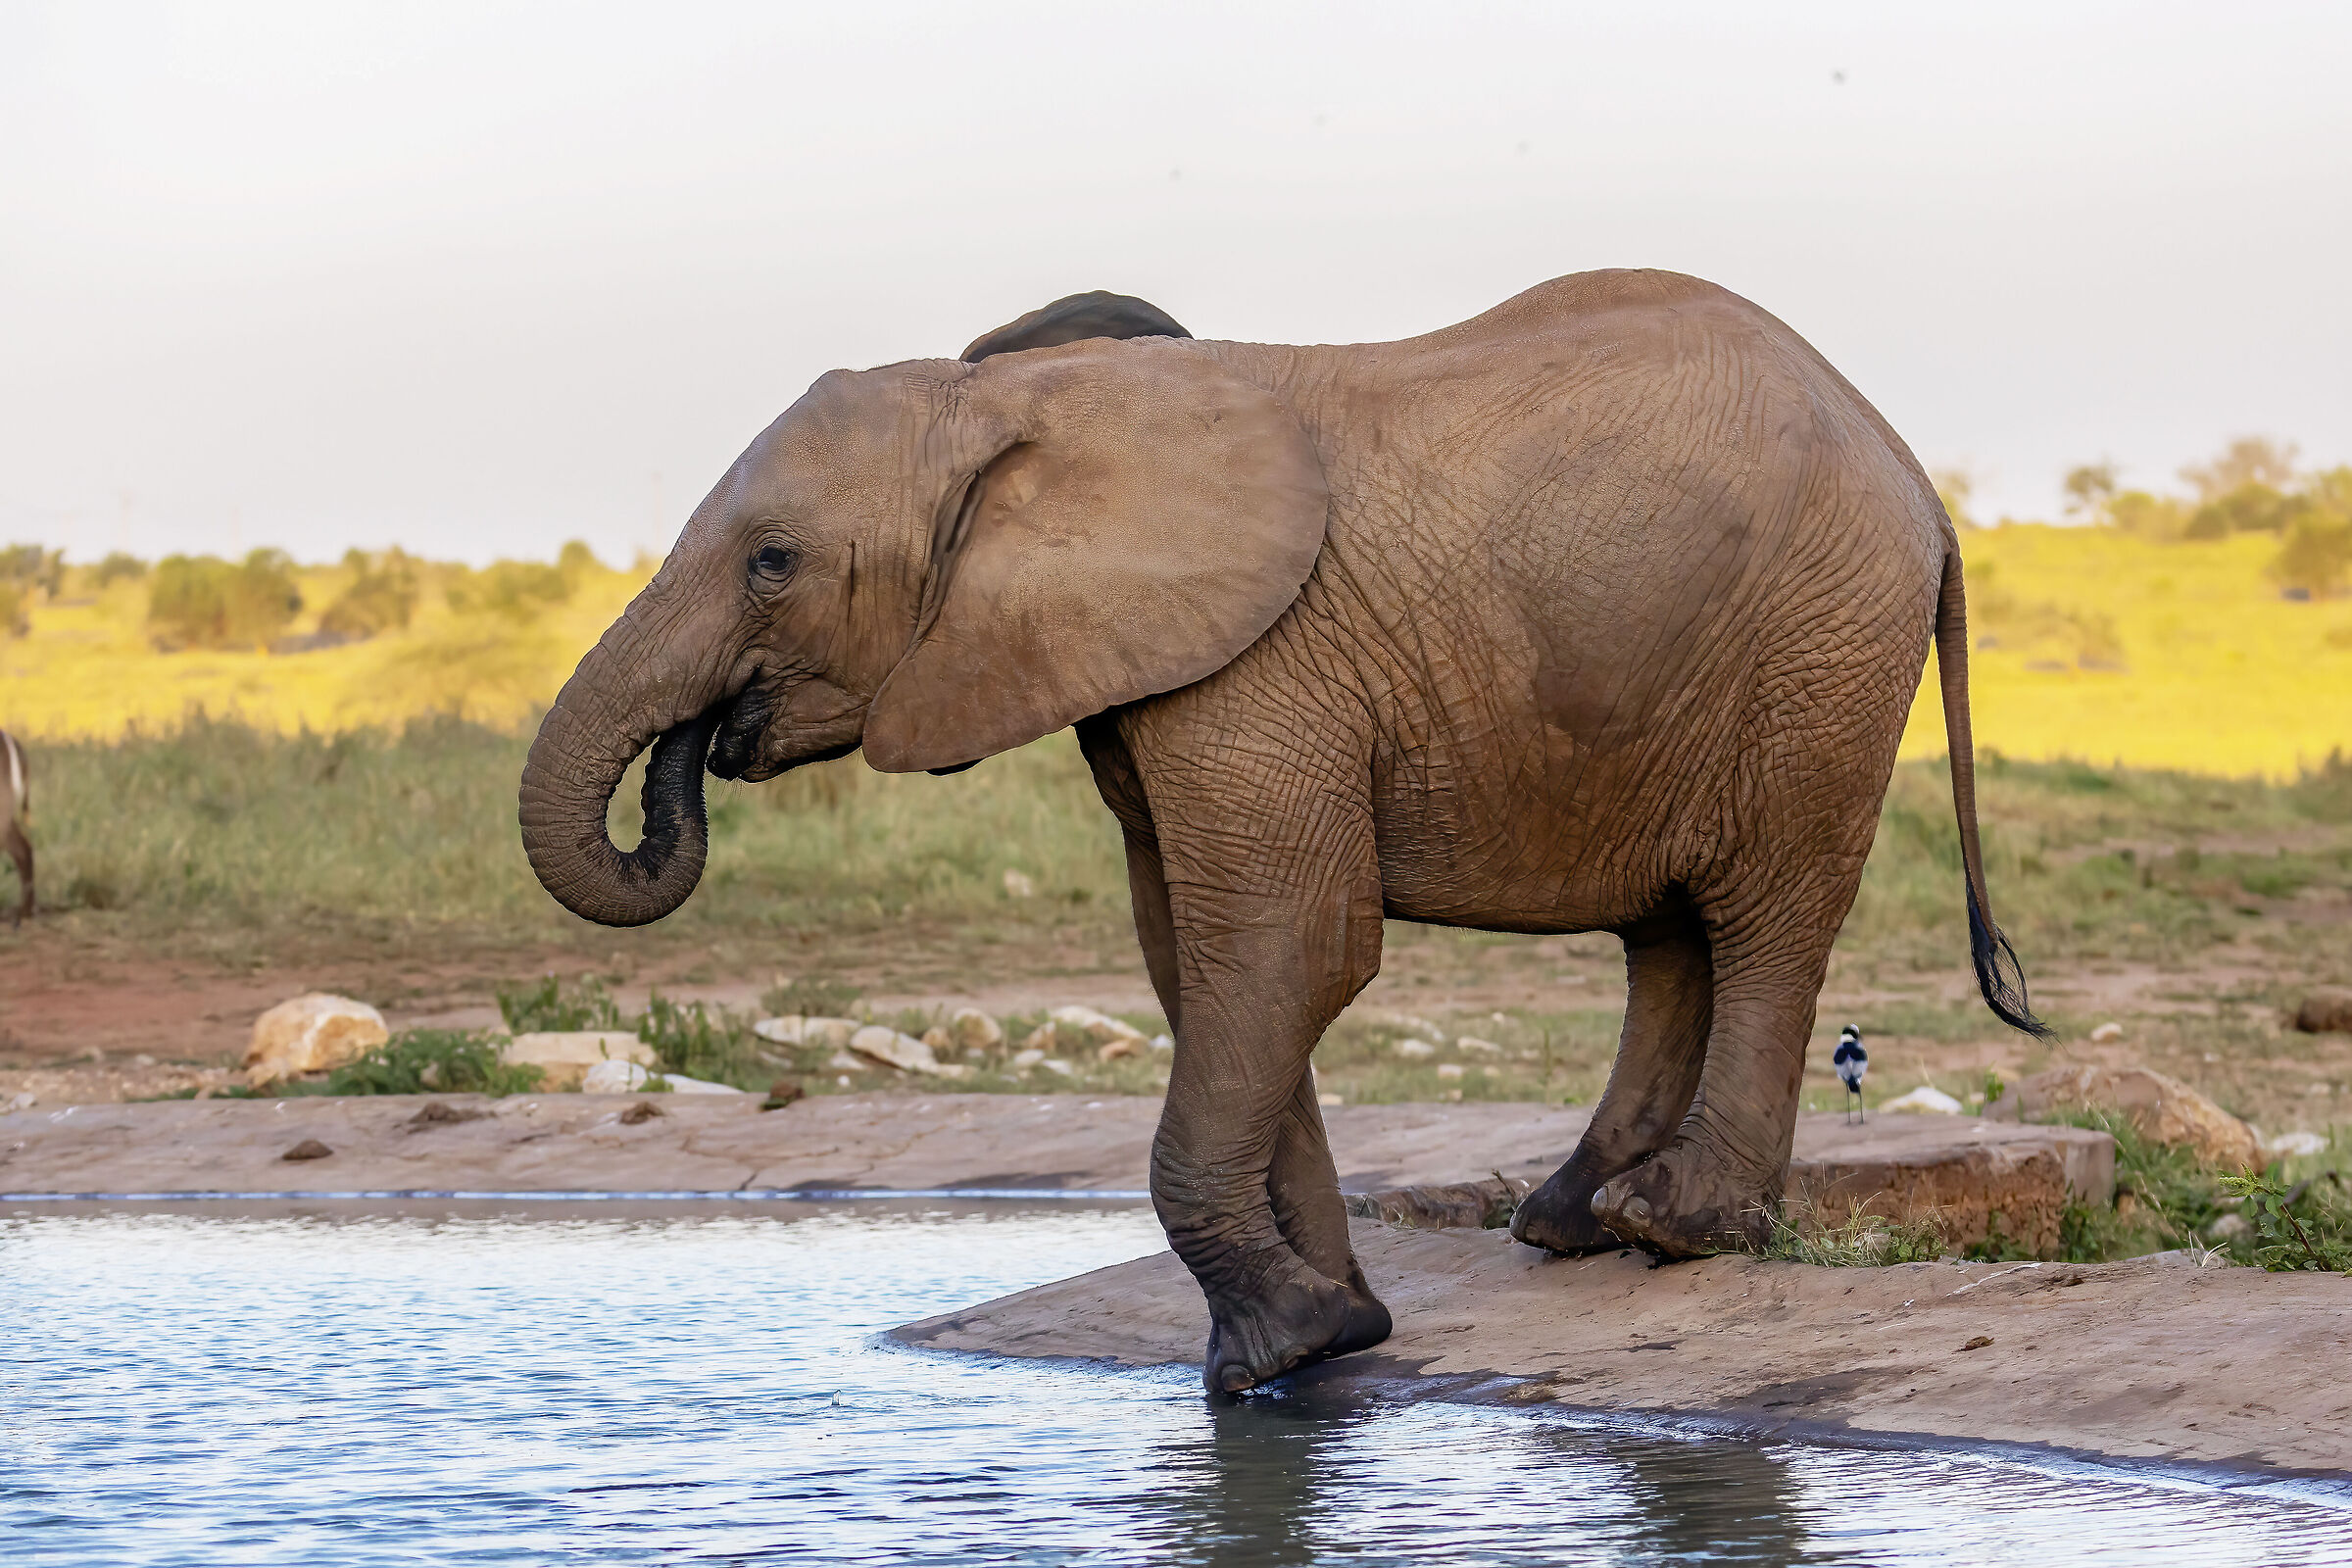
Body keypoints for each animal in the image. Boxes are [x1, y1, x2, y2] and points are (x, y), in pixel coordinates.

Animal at [519, 269, 2045, 1395]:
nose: (699, 755)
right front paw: (1332, 1330)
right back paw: (1570, 1224)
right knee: (1669, 932)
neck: (1016, 405)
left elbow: (1287, 949)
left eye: (772, 563)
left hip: (1817, 654)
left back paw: (1673, 1232)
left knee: (1763, 914)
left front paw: (1273, 1359)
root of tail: (1922, 483)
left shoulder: (1258, 668)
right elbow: (1199, 966)